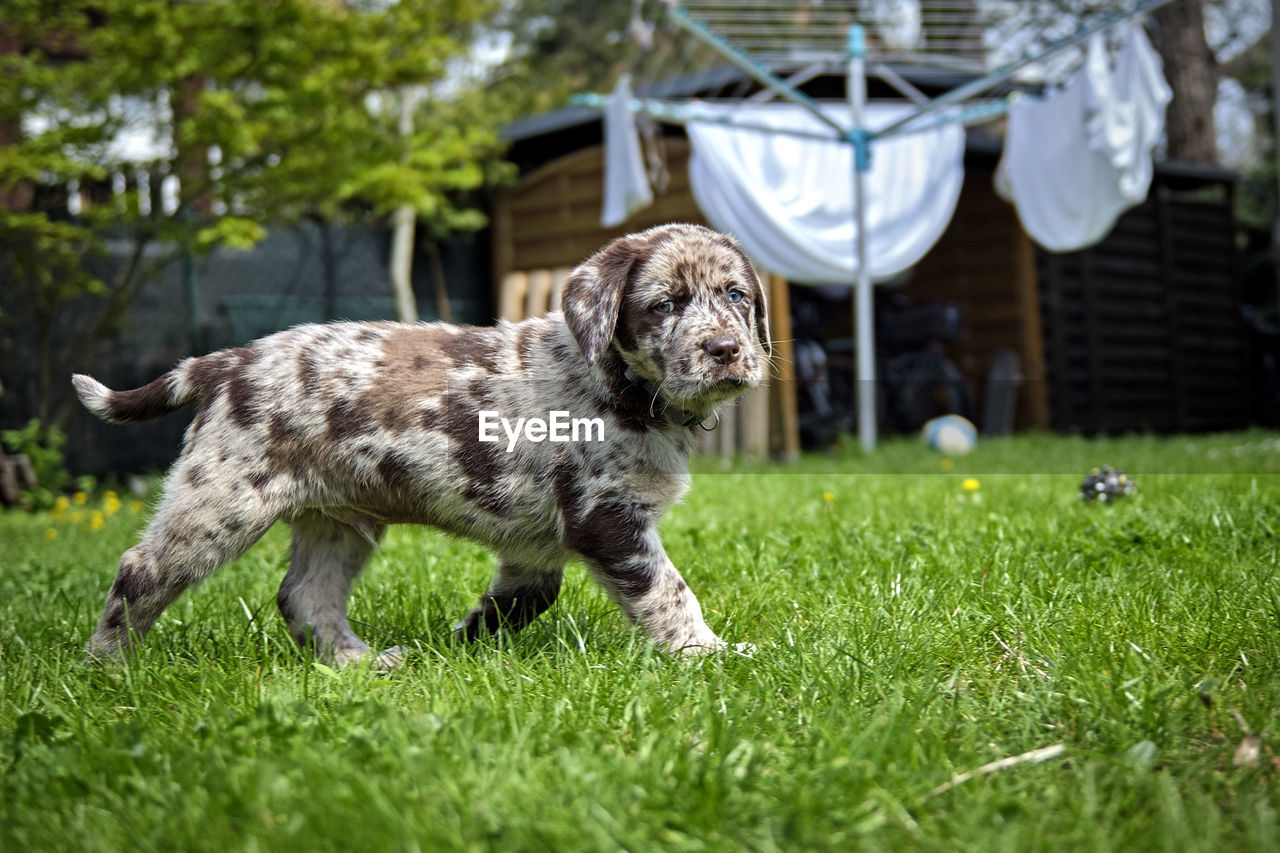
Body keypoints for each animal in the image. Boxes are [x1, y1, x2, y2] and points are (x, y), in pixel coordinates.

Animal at [72, 222, 768, 660]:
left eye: (736, 295)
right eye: (666, 305)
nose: (727, 350)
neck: (621, 385)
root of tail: (227, 361)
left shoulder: (539, 543)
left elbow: (527, 598)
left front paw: (464, 640)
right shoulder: (607, 517)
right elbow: (668, 589)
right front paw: (707, 654)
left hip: (337, 519)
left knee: (304, 598)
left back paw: (361, 664)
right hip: (222, 500)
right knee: (140, 572)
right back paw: (106, 668)